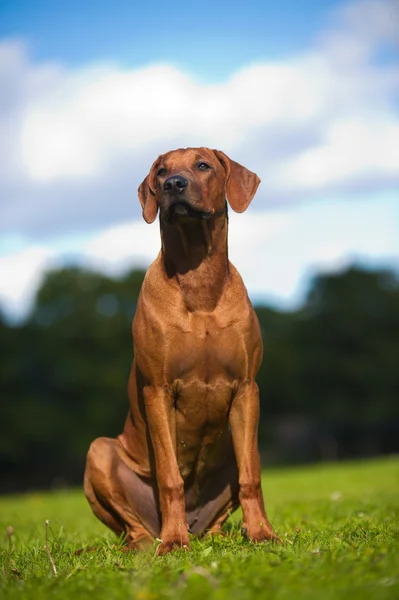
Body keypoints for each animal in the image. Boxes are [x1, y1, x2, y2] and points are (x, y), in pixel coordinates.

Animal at [84, 146, 280, 552]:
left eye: (202, 165)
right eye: (161, 171)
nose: (173, 184)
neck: (198, 279)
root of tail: (197, 524)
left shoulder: (246, 387)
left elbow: (251, 477)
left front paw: (261, 533)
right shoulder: (157, 390)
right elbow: (170, 477)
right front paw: (174, 542)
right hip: (100, 452)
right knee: (135, 527)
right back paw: (155, 540)